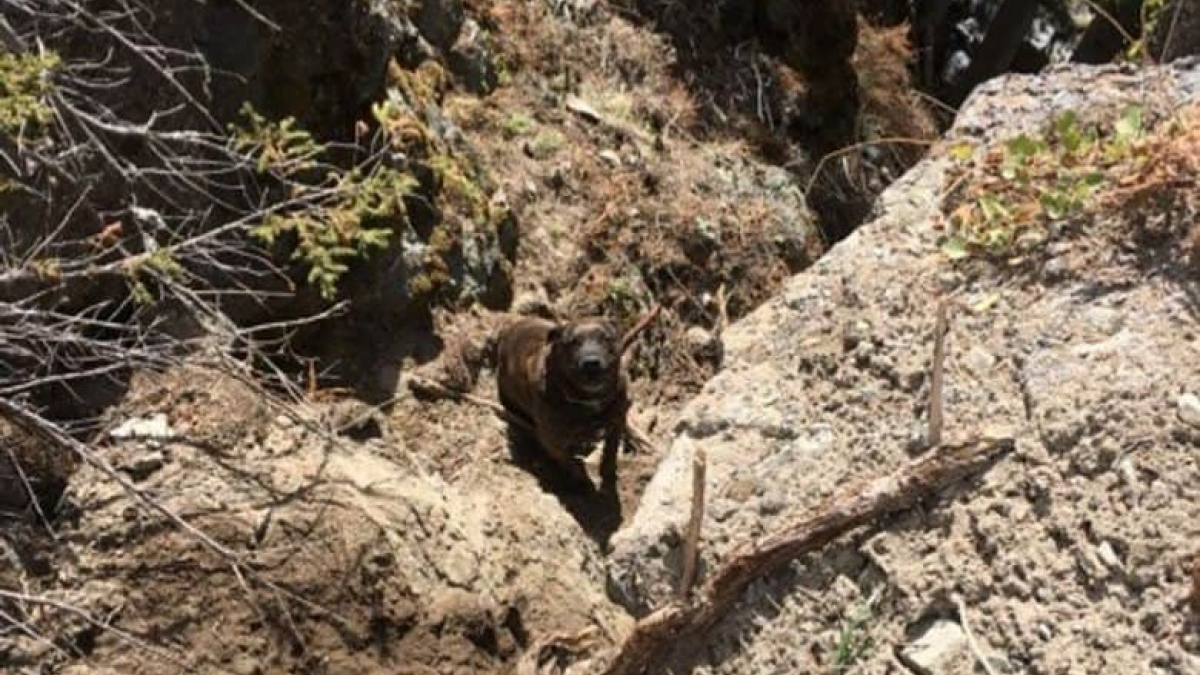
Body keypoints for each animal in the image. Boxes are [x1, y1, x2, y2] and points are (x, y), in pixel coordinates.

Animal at [494, 312, 628, 485]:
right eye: (573, 342)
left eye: (605, 338)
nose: (591, 363)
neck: (588, 400)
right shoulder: (551, 440)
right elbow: (572, 464)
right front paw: (585, 483)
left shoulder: (617, 421)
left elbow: (610, 452)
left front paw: (608, 476)